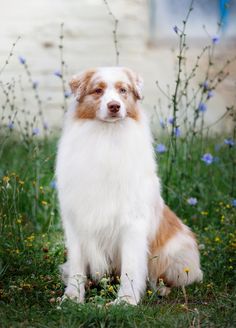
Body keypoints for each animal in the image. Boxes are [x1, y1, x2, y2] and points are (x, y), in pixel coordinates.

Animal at [55, 66, 203, 304]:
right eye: (98, 90)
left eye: (123, 90)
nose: (114, 106)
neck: (106, 137)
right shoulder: (75, 220)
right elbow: (77, 265)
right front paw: (72, 297)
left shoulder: (132, 222)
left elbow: (131, 268)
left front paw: (125, 301)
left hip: (176, 253)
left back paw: (161, 289)